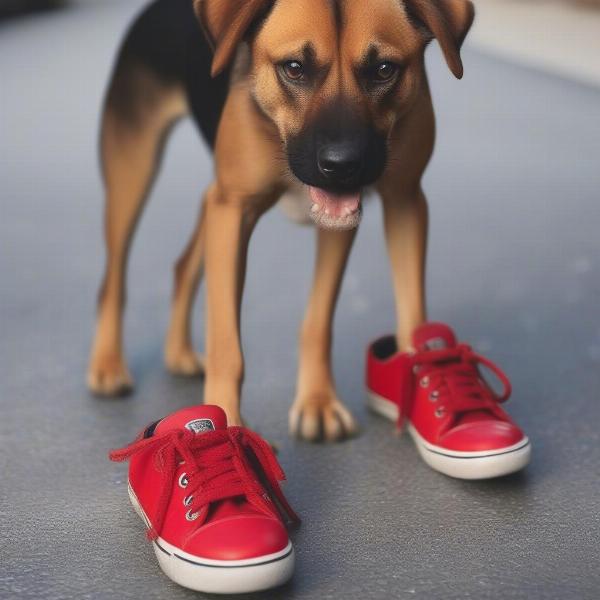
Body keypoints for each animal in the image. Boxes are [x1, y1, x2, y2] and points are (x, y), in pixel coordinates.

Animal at [88, 0, 474, 440]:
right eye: (294, 67)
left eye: (383, 69)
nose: (342, 164)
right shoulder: (234, 211)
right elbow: (226, 345)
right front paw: (225, 421)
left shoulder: (401, 201)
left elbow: (351, 317)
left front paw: (319, 401)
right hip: (132, 175)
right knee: (113, 279)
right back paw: (108, 364)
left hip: (213, 199)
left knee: (183, 263)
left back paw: (179, 352)